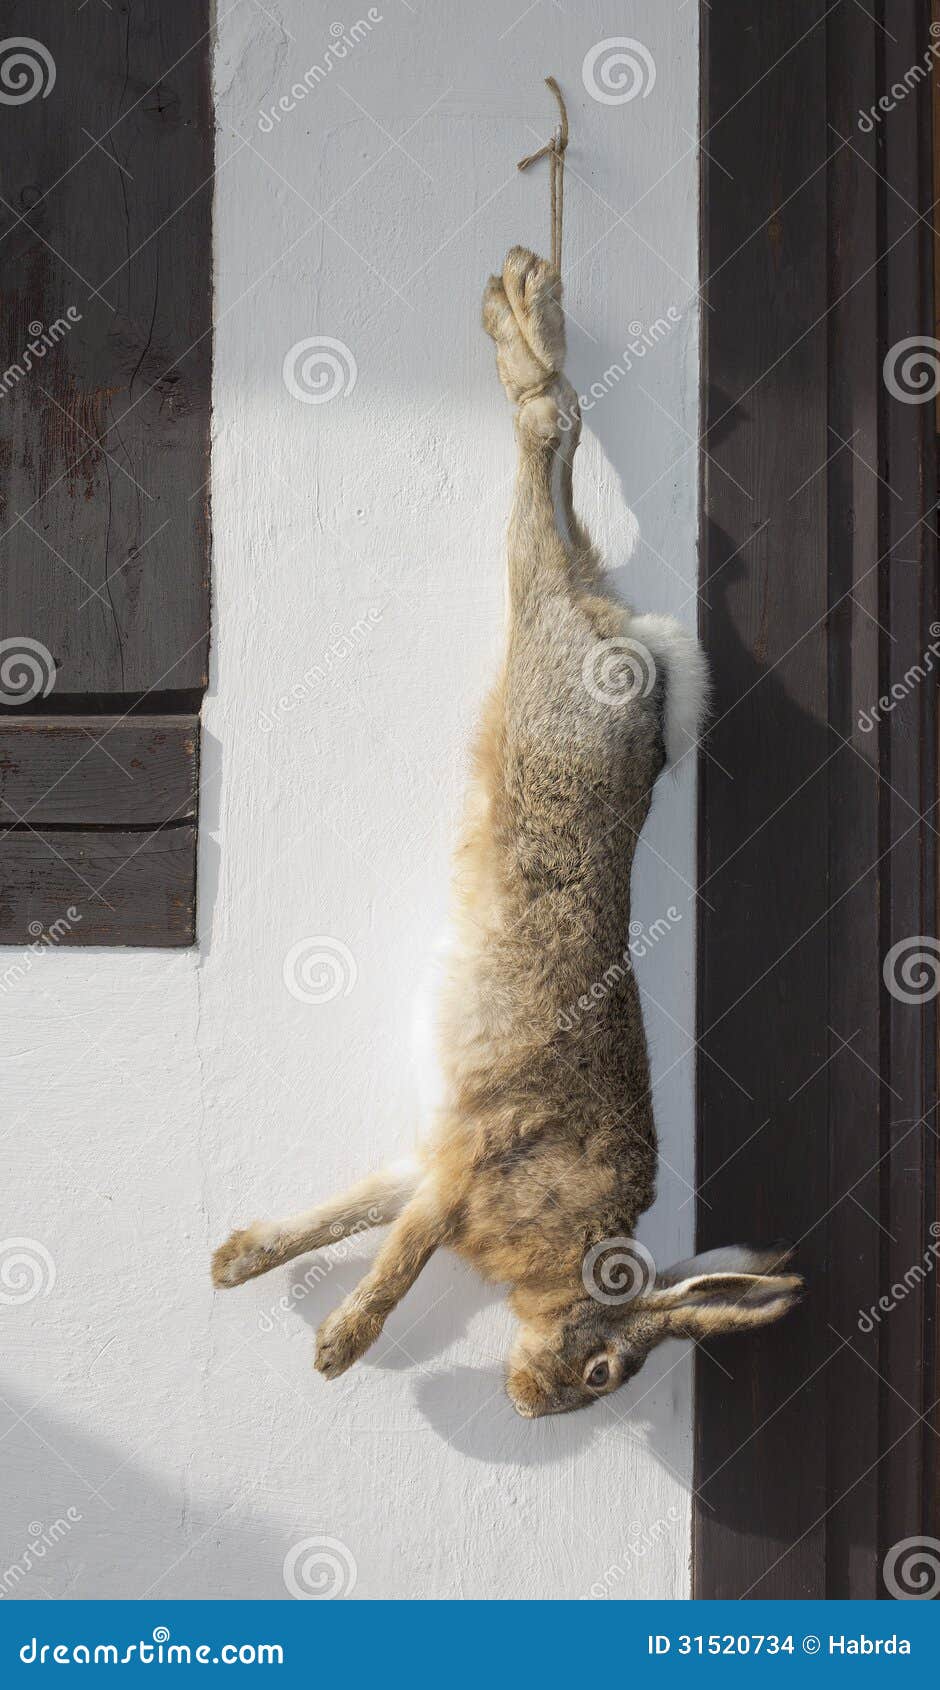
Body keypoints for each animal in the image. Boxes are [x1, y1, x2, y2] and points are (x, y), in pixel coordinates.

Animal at [212, 247, 803, 1416]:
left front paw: (244, 1264)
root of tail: (631, 637)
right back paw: (526, 325)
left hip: (543, 630)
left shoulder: (433, 1157)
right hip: (540, 641)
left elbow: (361, 1215)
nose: (534, 1403)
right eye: (606, 1369)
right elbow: (402, 1259)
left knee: (559, 510)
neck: (579, 1243)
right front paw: (338, 1345)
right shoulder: (470, 1168)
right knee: (548, 452)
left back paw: (519, 315)